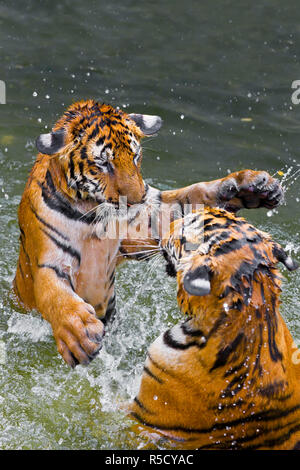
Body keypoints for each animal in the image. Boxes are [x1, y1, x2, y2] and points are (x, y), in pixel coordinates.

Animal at [14, 99, 284, 370]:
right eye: (103, 163)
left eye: (135, 156)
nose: (137, 199)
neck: (94, 215)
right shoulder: (47, 263)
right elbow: (56, 296)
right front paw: (79, 335)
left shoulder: (146, 223)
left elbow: (190, 195)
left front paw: (253, 186)